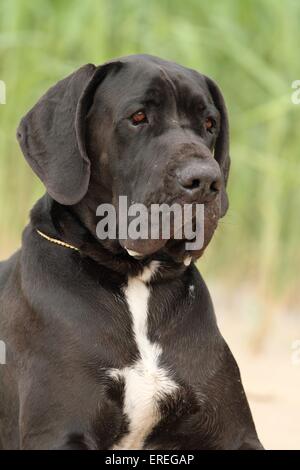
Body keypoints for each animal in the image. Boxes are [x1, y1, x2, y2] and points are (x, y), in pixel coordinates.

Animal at [0, 53, 262, 450]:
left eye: (209, 124)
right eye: (138, 117)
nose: (205, 179)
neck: (136, 279)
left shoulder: (235, 433)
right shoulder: (59, 432)